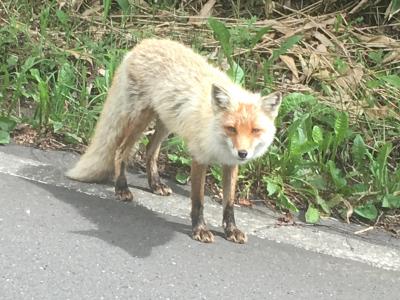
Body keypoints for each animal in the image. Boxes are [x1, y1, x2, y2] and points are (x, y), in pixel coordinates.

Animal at [65, 38, 282, 244]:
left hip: (166, 121)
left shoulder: (230, 164)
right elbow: (198, 201)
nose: (243, 153)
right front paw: (200, 229)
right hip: (141, 118)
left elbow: (229, 203)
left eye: (255, 130)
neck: (213, 129)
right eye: (232, 129)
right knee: (120, 151)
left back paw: (155, 184)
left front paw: (231, 230)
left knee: (149, 150)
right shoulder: (199, 157)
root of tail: (144, 43)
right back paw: (121, 188)